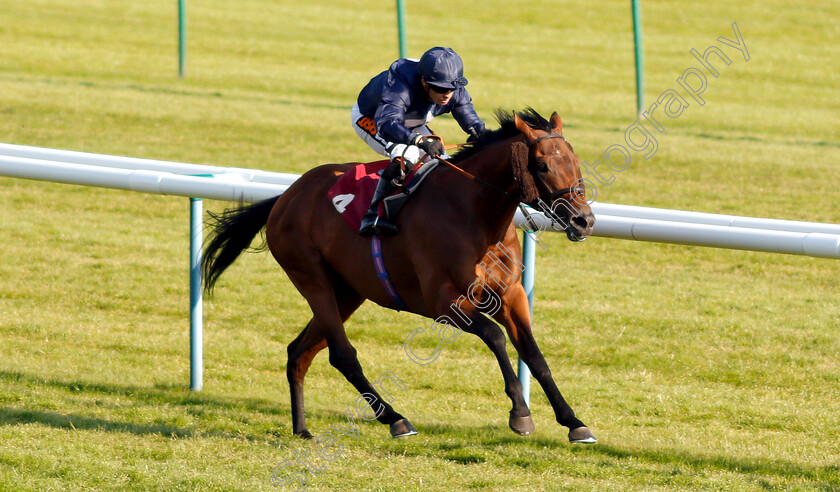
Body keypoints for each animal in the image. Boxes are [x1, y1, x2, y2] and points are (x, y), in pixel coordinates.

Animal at [203, 109, 596, 444]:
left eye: (575, 162)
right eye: (542, 165)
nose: (584, 221)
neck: (476, 215)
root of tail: (285, 196)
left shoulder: (511, 295)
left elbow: (534, 355)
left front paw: (574, 422)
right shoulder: (443, 302)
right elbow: (496, 337)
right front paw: (520, 414)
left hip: (348, 291)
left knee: (300, 352)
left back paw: (301, 428)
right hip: (311, 277)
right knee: (341, 354)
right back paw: (395, 419)